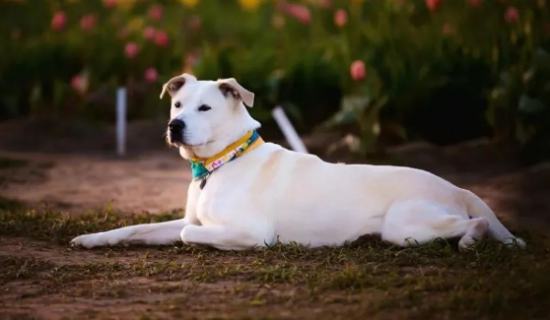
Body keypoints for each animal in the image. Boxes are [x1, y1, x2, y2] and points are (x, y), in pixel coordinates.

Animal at [71, 74, 528, 251]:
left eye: (204, 108)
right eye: (178, 104)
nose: (175, 126)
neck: (222, 162)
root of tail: (456, 187)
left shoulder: (251, 233)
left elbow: (186, 234)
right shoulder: (190, 219)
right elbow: (137, 228)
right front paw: (92, 239)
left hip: (405, 227)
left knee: (477, 222)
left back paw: (470, 240)